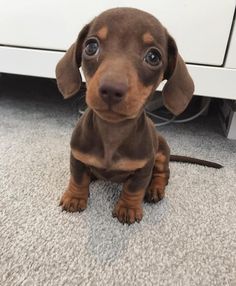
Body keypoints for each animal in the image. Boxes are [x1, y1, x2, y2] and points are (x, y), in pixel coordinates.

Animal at [56, 7, 195, 225]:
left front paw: (128, 208)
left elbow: (134, 188)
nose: (111, 89)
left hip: (162, 152)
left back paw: (155, 188)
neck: (112, 132)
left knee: (164, 173)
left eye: (153, 57)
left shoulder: (143, 168)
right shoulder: (77, 156)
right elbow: (77, 177)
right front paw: (75, 197)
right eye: (91, 46)